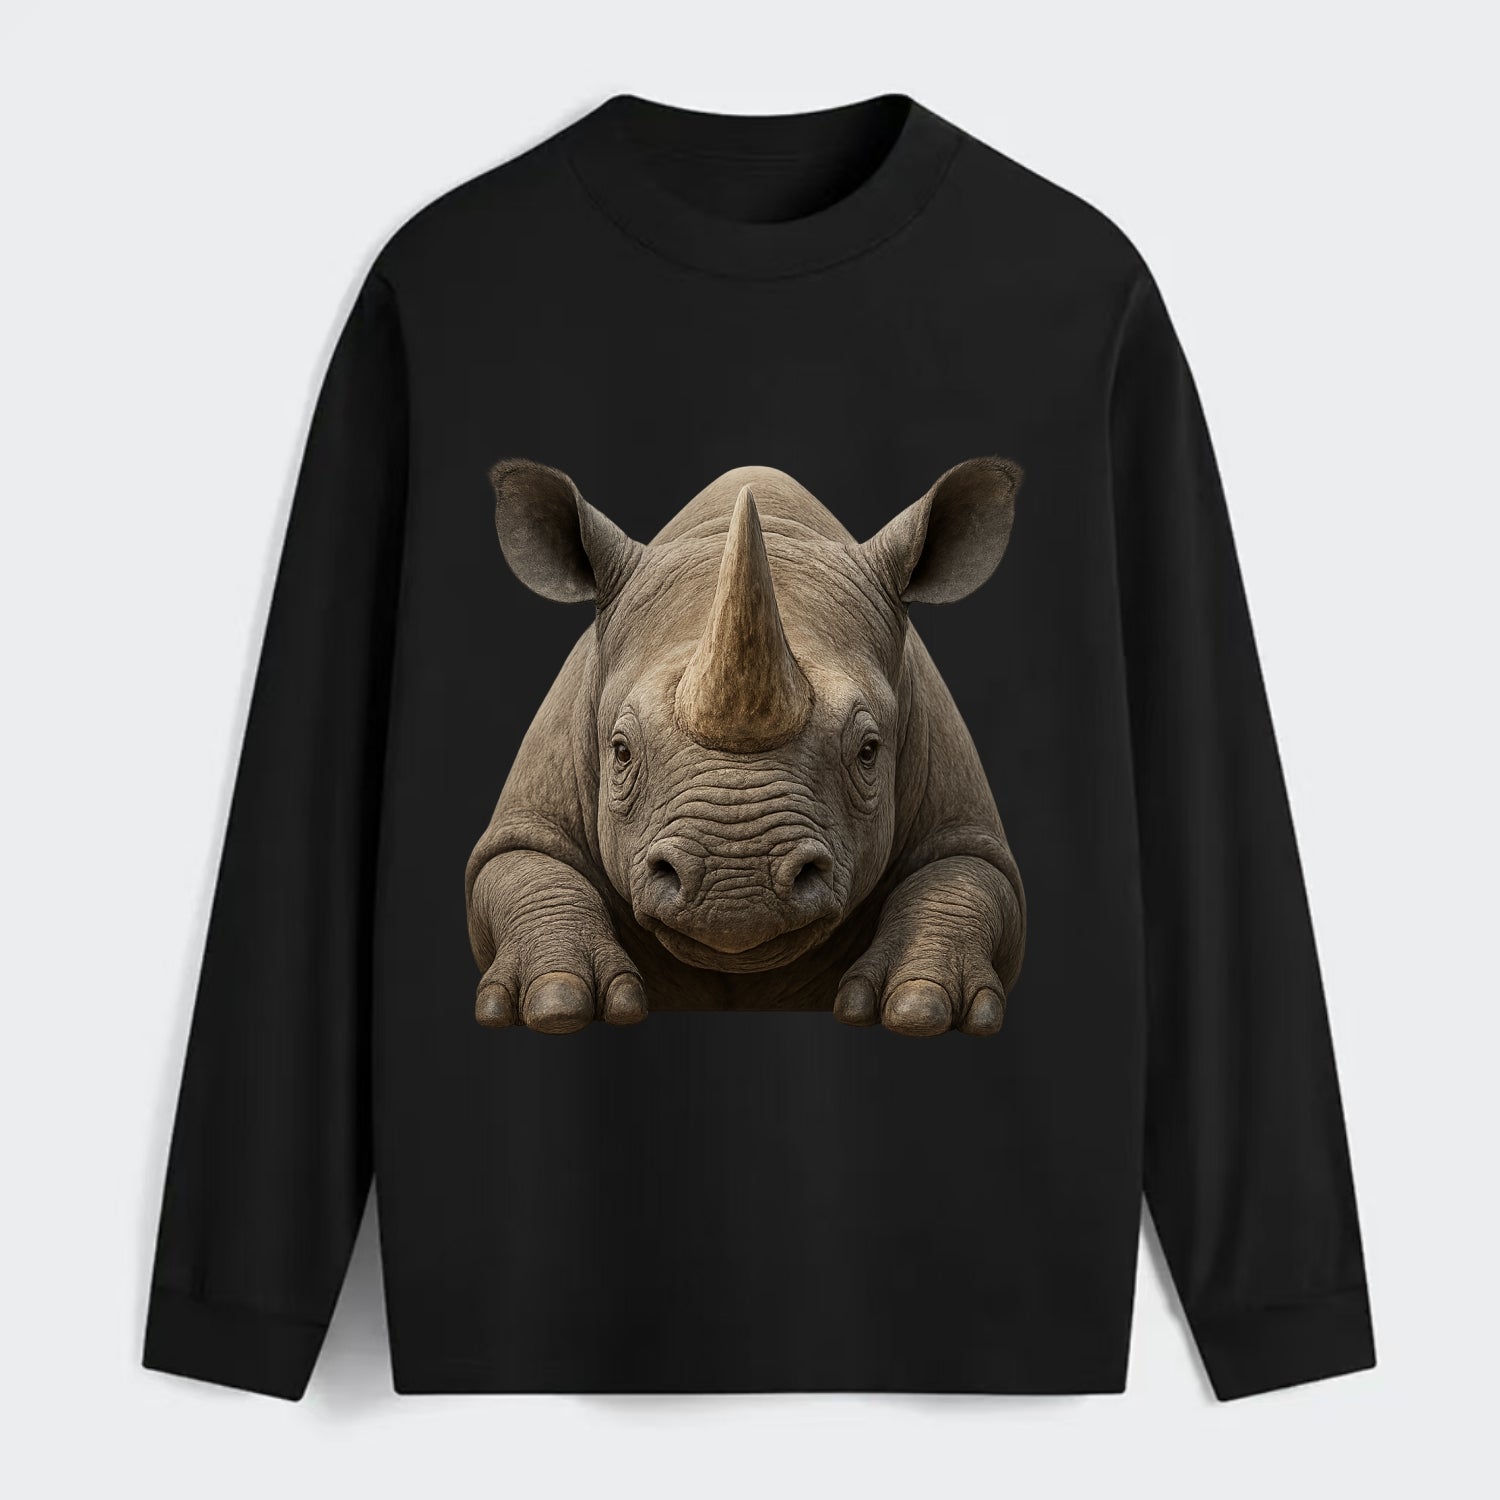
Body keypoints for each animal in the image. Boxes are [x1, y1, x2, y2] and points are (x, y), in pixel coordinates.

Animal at [464, 459, 1026, 1038]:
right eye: (620, 751)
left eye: (869, 751)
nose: (736, 888)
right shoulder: (530, 815)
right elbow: (523, 865)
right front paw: (556, 1003)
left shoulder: (960, 816)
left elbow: (965, 876)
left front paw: (920, 1007)